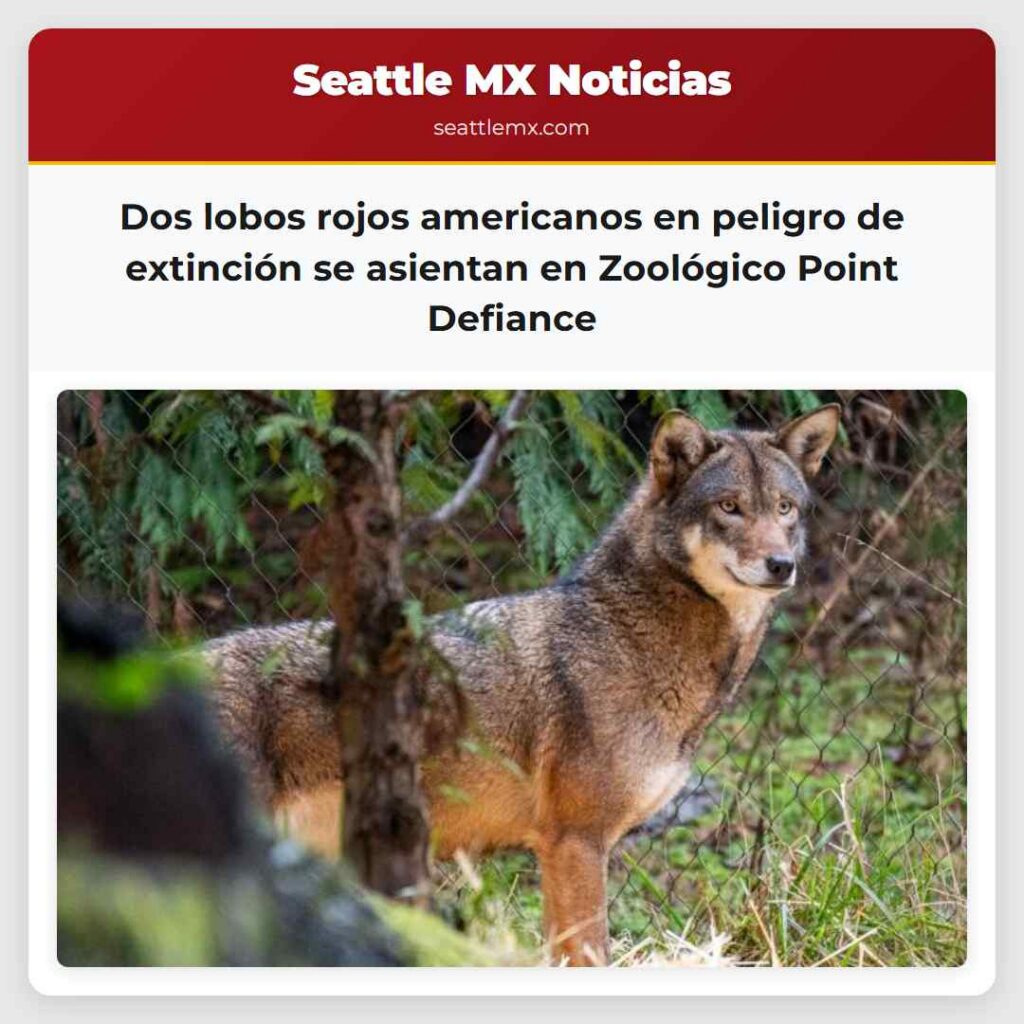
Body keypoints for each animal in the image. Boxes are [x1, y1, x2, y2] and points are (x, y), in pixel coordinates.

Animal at [208, 403, 840, 965]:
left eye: (785, 508)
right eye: (730, 507)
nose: (781, 565)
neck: (632, 635)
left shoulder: (562, 849)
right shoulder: (575, 842)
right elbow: (590, 956)